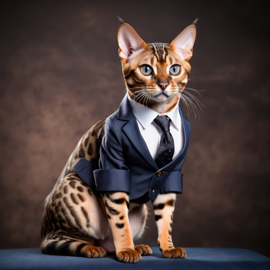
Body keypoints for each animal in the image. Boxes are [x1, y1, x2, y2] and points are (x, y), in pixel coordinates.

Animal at [41, 17, 198, 262]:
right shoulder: (114, 170)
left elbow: (166, 219)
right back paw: (92, 248)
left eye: (174, 69)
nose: (163, 84)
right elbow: (120, 221)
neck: (159, 115)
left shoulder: (170, 174)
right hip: (75, 189)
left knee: (107, 242)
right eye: (146, 69)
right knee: (57, 242)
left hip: (140, 211)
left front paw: (168, 247)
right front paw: (126, 250)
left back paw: (135, 246)